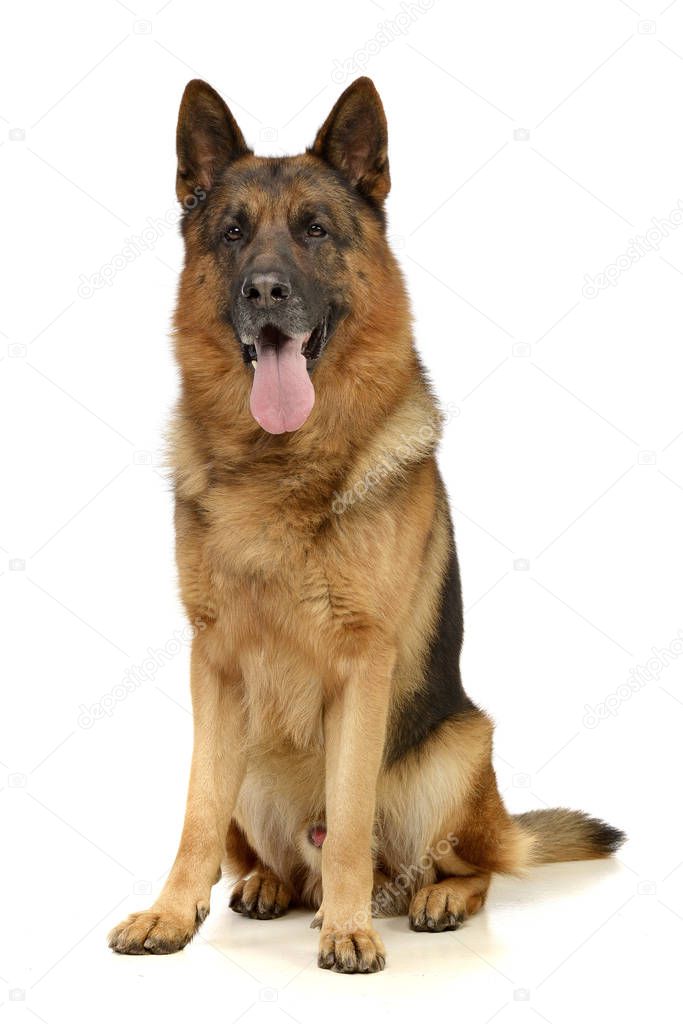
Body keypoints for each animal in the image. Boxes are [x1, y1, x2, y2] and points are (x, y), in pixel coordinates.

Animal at [108, 75, 626, 970]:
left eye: (314, 229)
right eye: (232, 233)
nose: (265, 291)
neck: (279, 464)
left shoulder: (361, 665)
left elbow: (349, 815)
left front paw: (347, 930)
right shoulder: (212, 664)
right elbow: (196, 813)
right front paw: (172, 913)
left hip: (459, 749)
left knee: (462, 864)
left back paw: (426, 899)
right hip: (252, 761)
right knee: (268, 855)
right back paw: (271, 886)